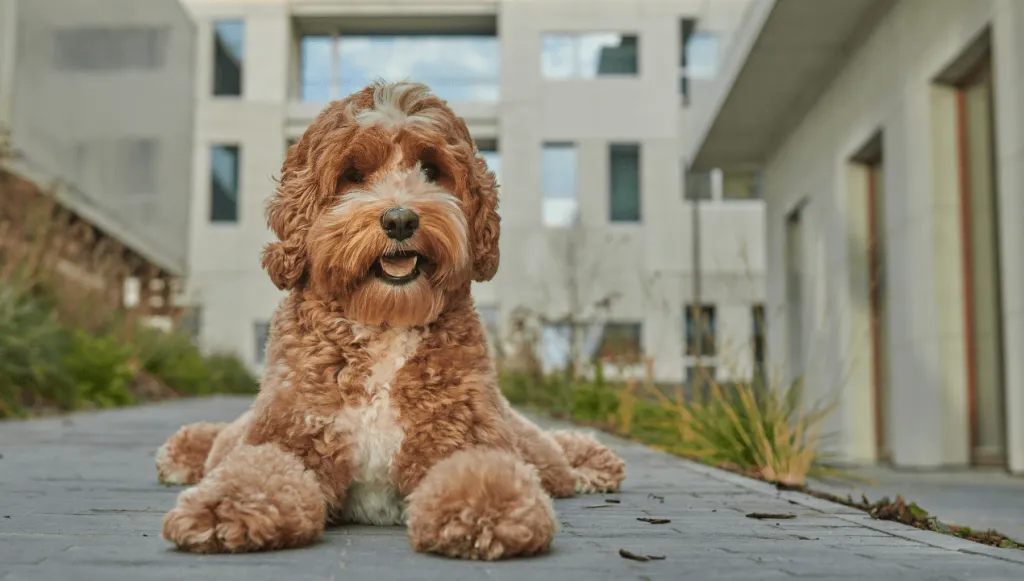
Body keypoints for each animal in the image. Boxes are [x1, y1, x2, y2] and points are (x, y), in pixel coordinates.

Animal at [155, 81, 626, 557]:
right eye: (352, 174)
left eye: (432, 169)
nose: (400, 219)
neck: (384, 320)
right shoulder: (289, 432)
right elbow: (256, 469)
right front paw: (224, 508)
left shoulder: (463, 434)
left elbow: (483, 470)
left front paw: (486, 509)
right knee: (223, 438)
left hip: (523, 438)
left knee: (552, 455)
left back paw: (592, 462)